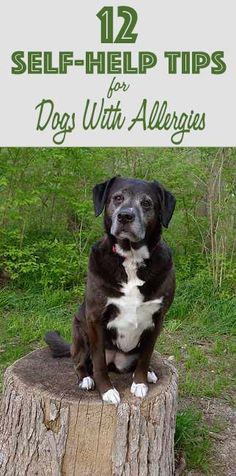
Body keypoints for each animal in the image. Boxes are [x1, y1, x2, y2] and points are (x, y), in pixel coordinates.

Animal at [45, 177, 176, 404]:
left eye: (147, 203)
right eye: (117, 198)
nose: (125, 216)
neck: (131, 258)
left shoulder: (157, 318)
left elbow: (146, 356)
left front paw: (140, 382)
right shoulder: (96, 317)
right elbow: (98, 363)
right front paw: (106, 390)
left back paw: (150, 372)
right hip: (79, 331)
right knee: (80, 362)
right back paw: (85, 379)